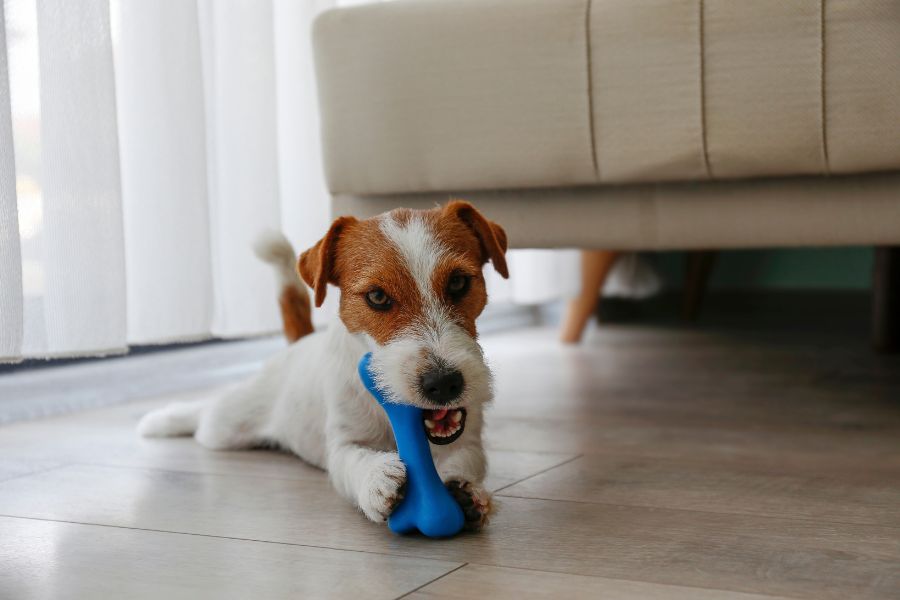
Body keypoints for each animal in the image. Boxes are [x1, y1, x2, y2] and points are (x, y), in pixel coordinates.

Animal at [138, 200, 510, 528]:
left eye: (458, 282)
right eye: (377, 297)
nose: (444, 383)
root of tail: (297, 345)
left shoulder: (467, 440)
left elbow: (467, 459)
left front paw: (465, 491)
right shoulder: (342, 442)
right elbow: (352, 460)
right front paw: (376, 477)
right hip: (227, 425)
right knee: (205, 414)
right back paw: (162, 420)